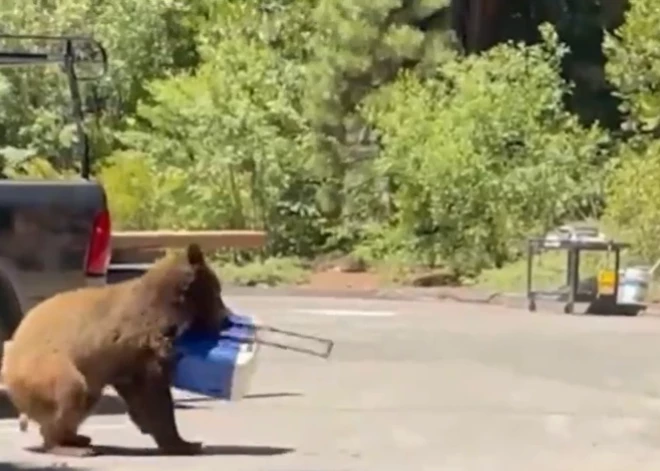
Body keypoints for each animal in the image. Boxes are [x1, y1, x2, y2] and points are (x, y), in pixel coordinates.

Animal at [0, 243, 227, 458]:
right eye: (217, 290)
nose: (224, 317)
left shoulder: (123, 361)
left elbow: (140, 393)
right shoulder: (143, 341)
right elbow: (154, 390)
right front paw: (185, 444)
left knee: (87, 398)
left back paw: (77, 438)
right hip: (45, 368)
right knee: (71, 390)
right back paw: (67, 446)